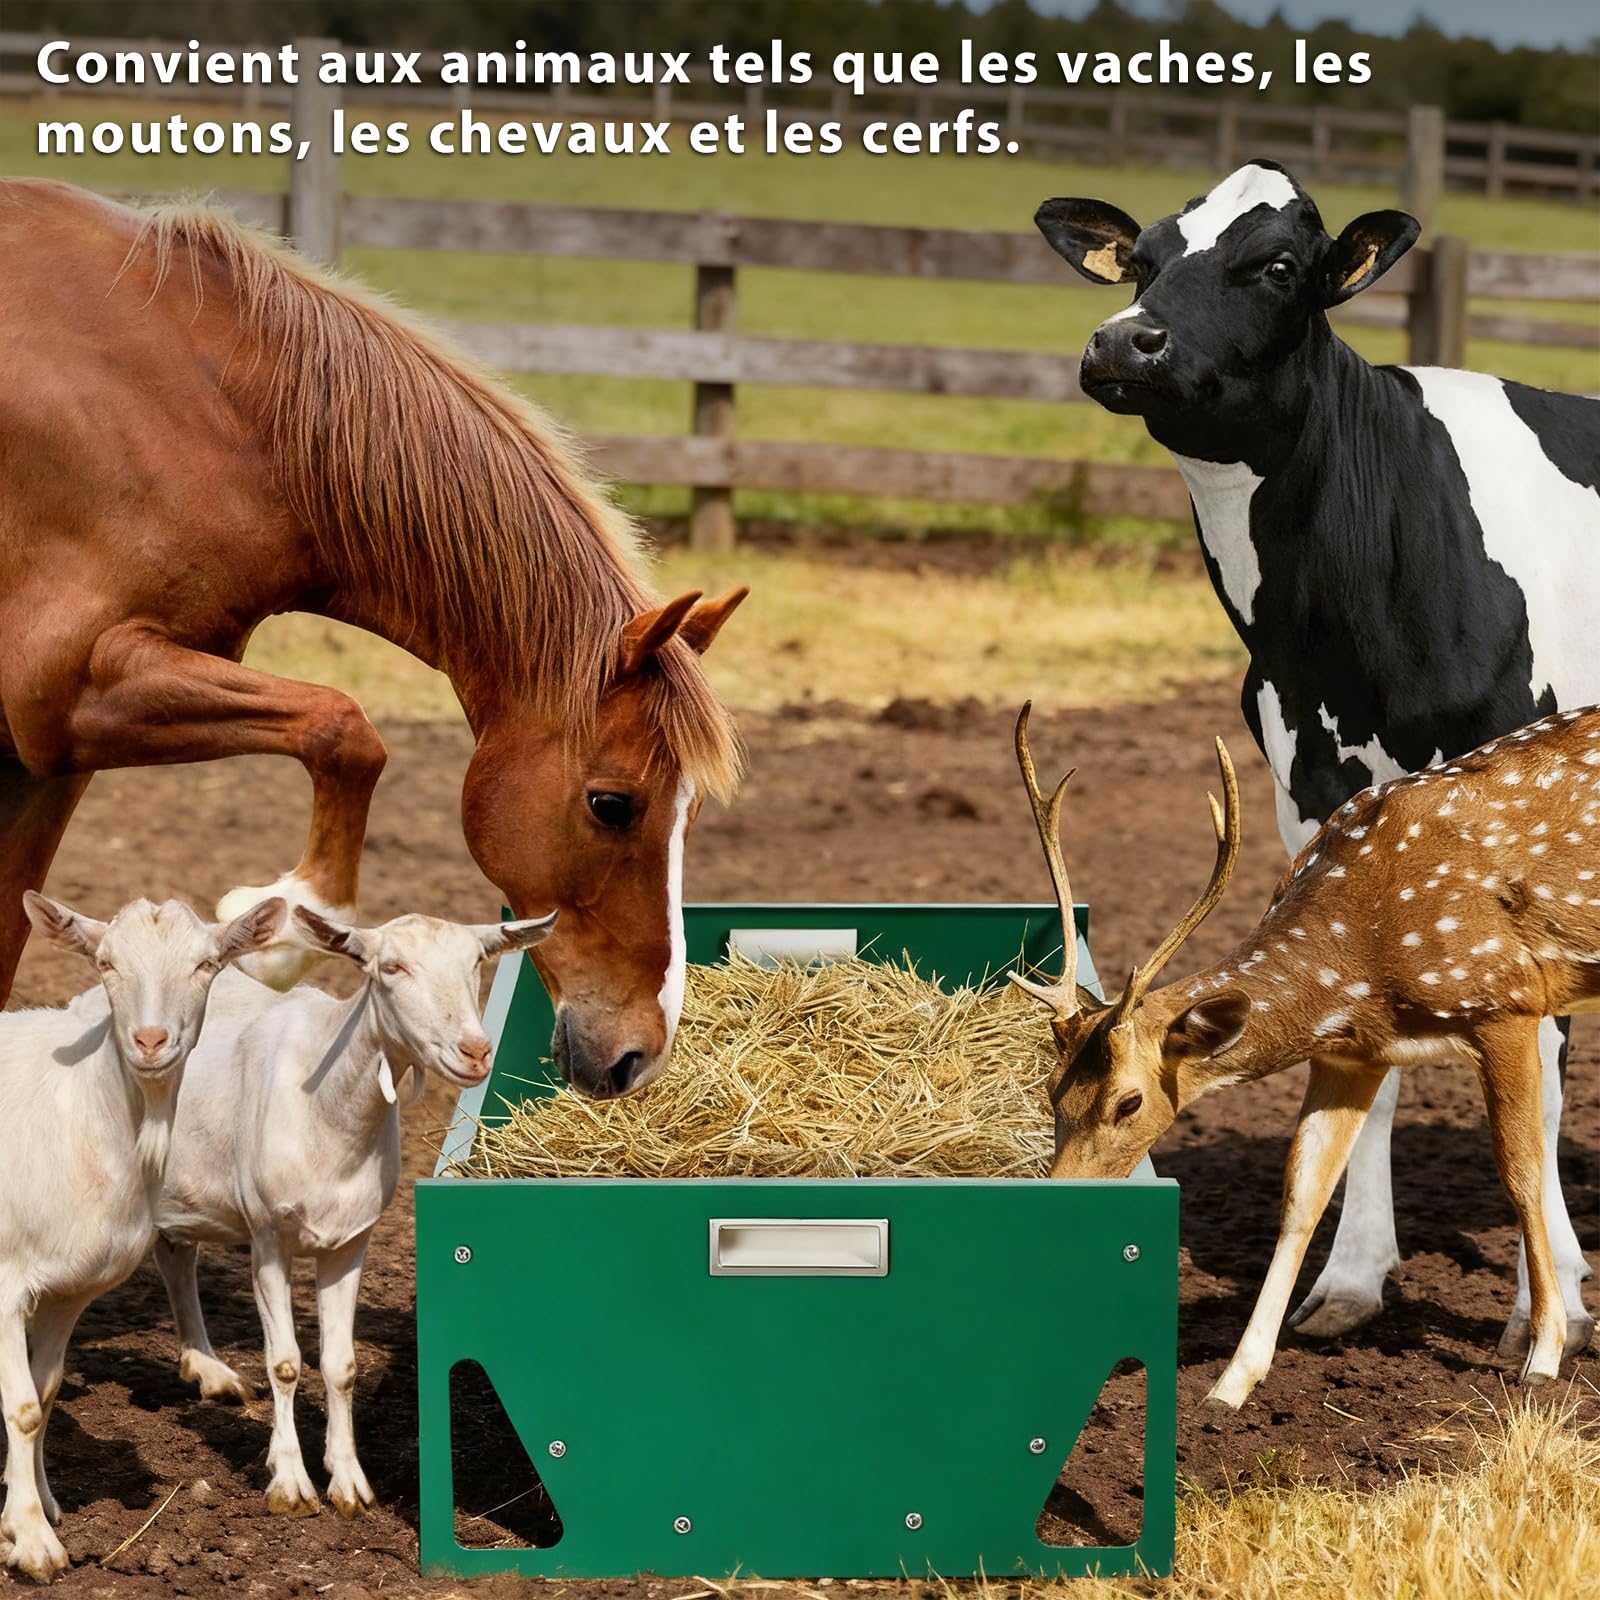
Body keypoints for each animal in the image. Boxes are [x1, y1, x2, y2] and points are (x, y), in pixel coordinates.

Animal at [0, 177, 744, 1100]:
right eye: (612, 804)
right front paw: (287, 930)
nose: (641, 1055)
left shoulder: (44, 757)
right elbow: (346, 728)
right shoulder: (72, 690)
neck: (205, 409)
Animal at [0, 892, 283, 1583]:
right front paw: (32, 1542)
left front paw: (37, 1506)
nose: (150, 1041)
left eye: (206, 964)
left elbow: (44, 1396)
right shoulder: (6, 1282)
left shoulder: (67, 1291)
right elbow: (21, 1406)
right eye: (105, 962)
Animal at [154, 904, 556, 1518]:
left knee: (176, 1254)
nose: (475, 1052)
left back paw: (209, 1372)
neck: (327, 1106)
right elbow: (285, 1362)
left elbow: (341, 1366)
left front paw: (348, 1484)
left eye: (476, 964)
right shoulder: (267, 1236)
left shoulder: (351, 1239)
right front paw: (290, 1484)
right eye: (391, 967)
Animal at [1033, 159, 1598, 1360]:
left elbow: (1543, 1067)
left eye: (1279, 265)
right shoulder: (1315, 793)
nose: (1124, 341)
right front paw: (1349, 1279)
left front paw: (1549, 1305)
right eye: (1143, 257)